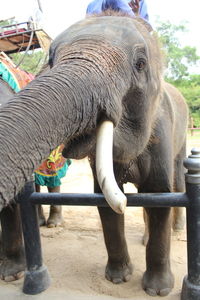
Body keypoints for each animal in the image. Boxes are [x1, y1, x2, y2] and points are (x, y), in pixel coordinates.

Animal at [0, 11, 188, 296]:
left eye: (140, 64)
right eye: (51, 60)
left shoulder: (161, 132)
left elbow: (159, 196)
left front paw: (157, 291)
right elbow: (103, 199)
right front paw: (118, 278)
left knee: (176, 182)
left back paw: (176, 232)